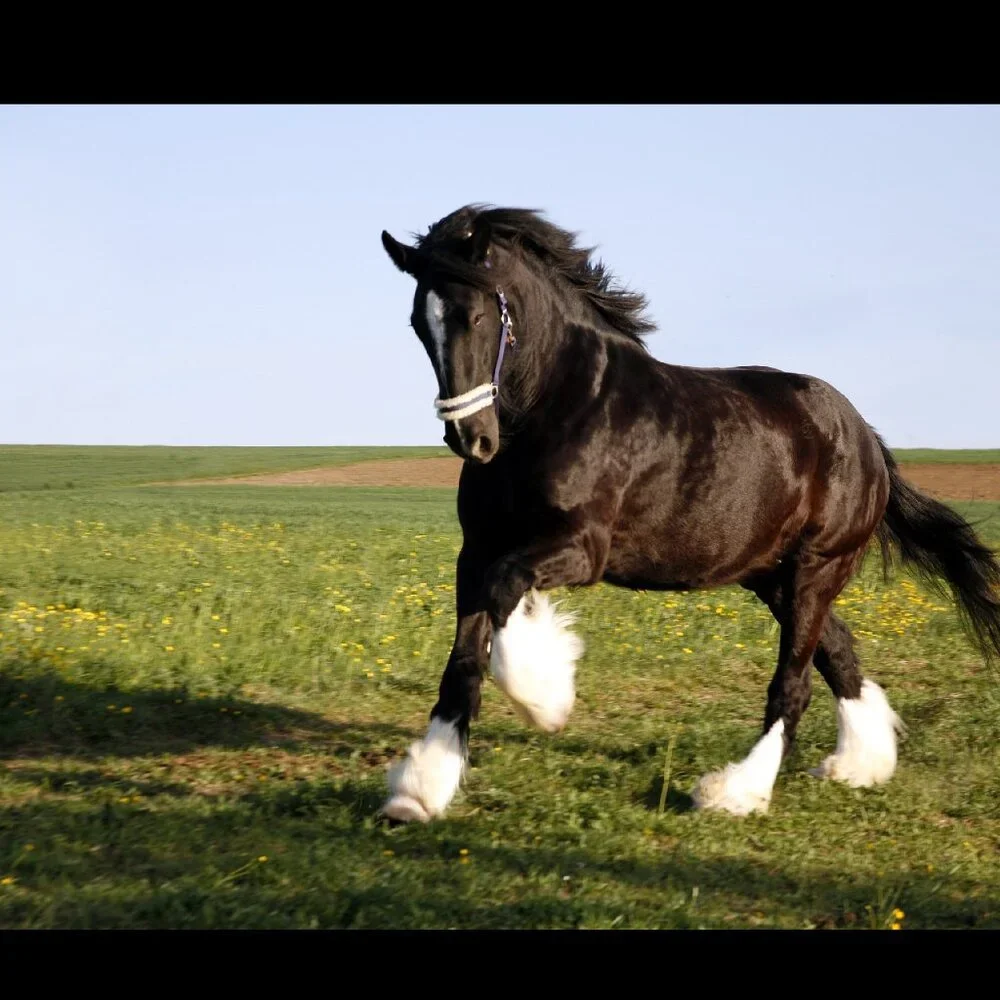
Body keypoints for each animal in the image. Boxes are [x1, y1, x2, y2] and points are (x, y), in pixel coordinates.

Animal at [377, 204, 1000, 823]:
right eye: (418, 323)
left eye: (476, 315)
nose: (471, 438)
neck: (558, 405)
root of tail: (866, 438)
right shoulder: (477, 550)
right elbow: (463, 662)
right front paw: (418, 791)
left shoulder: (581, 547)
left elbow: (507, 597)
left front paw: (546, 698)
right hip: (775, 578)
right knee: (839, 655)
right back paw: (860, 764)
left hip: (817, 569)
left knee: (794, 684)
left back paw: (736, 791)